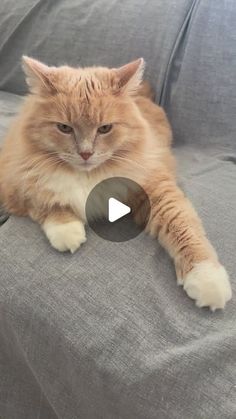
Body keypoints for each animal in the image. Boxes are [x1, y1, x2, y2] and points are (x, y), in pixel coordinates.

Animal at [0, 57, 232, 310]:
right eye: (64, 128)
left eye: (105, 128)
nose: (85, 154)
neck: (88, 175)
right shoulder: (15, 184)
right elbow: (47, 203)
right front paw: (67, 231)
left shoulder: (156, 189)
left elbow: (185, 228)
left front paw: (208, 279)